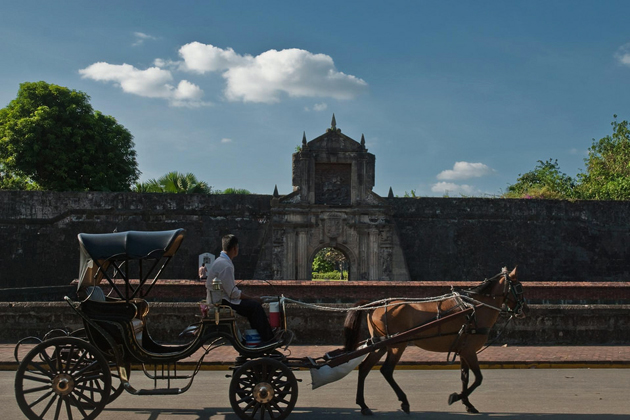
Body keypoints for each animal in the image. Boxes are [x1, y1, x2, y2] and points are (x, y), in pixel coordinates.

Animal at [346, 268, 528, 416]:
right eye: (519, 287)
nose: (524, 310)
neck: (475, 308)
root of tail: (374, 306)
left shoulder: (463, 350)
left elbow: (465, 377)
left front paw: (468, 404)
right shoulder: (470, 351)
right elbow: (478, 378)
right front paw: (455, 397)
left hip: (382, 344)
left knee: (364, 368)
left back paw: (363, 405)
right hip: (398, 344)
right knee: (386, 370)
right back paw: (403, 401)